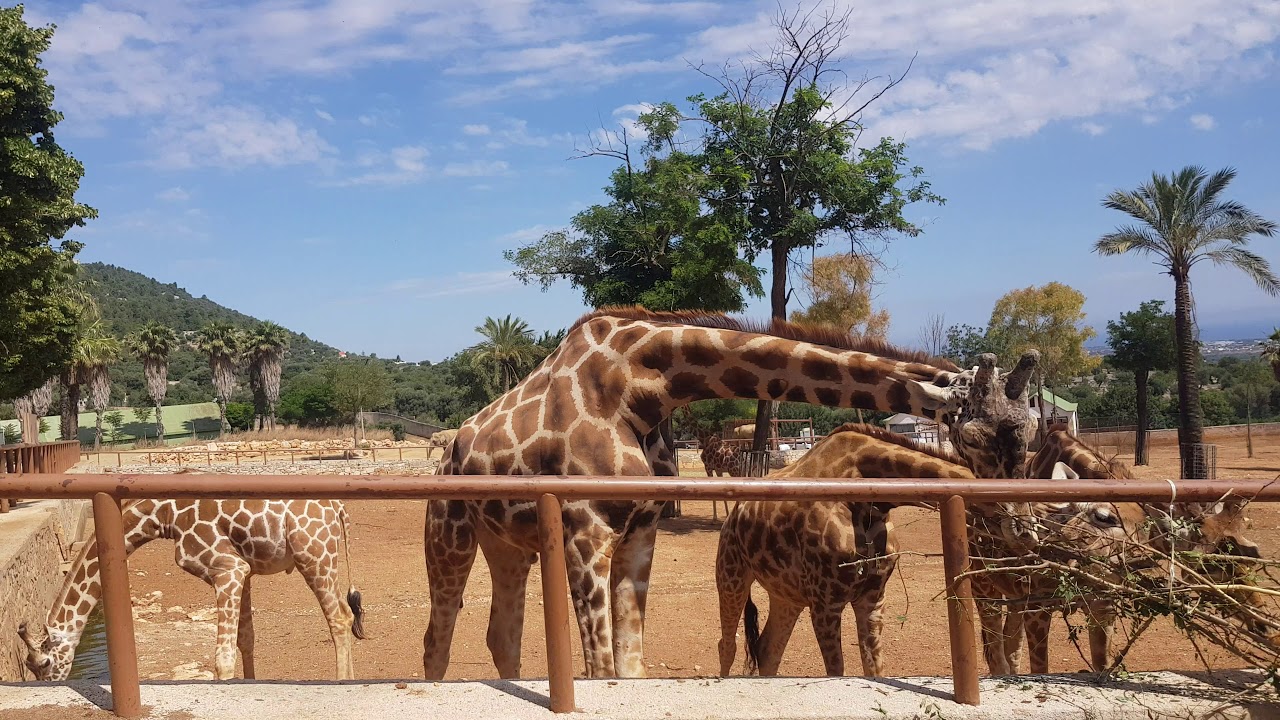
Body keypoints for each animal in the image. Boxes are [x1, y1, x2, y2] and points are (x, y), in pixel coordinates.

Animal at [16, 497, 366, 681]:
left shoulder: (227, 570)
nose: (52, 686)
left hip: (314, 558)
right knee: (347, 615)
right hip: (327, 560)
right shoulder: (244, 570)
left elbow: (222, 658)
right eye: (29, 667)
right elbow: (246, 640)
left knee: (337, 618)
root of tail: (339, 507)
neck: (165, 516)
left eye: (43, 663)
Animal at [424, 303, 1044, 676]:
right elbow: (600, 668)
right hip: (449, 531)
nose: (1022, 525)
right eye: (978, 436)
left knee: (500, 636)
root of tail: (454, 447)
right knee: (439, 633)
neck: (640, 389)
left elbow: (630, 664)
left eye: (1035, 427)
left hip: (508, 545)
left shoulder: (639, 536)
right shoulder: (585, 533)